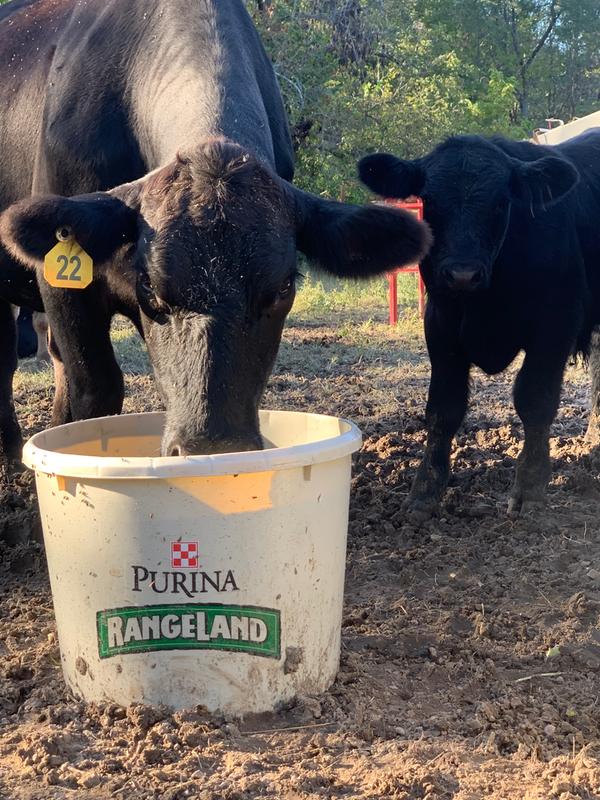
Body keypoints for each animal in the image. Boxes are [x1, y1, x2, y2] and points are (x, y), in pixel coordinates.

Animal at [359, 130, 600, 517]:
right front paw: (423, 493)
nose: (462, 273)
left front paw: (529, 489)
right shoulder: (440, 327)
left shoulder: (555, 324)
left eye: (501, 203)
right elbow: (443, 408)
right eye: (430, 202)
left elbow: (535, 400)